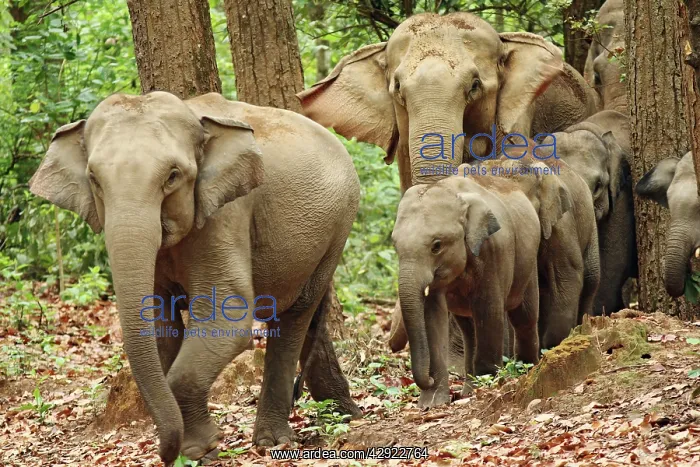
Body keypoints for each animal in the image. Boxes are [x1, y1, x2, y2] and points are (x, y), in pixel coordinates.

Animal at [28, 91, 362, 464]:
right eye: (95, 179)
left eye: (173, 176)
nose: (164, 452)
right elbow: (160, 324)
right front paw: (194, 450)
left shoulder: (225, 214)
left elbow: (229, 316)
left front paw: (200, 449)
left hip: (338, 227)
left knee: (295, 315)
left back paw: (275, 440)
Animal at [392, 171, 542, 407]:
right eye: (395, 245)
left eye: (436, 246)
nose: (427, 379)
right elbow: (432, 316)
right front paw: (432, 402)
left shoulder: (493, 251)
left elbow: (489, 310)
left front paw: (488, 384)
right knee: (468, 328)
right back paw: (469, 390)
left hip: (528, 261)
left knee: (524, 316)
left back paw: (525, 368)